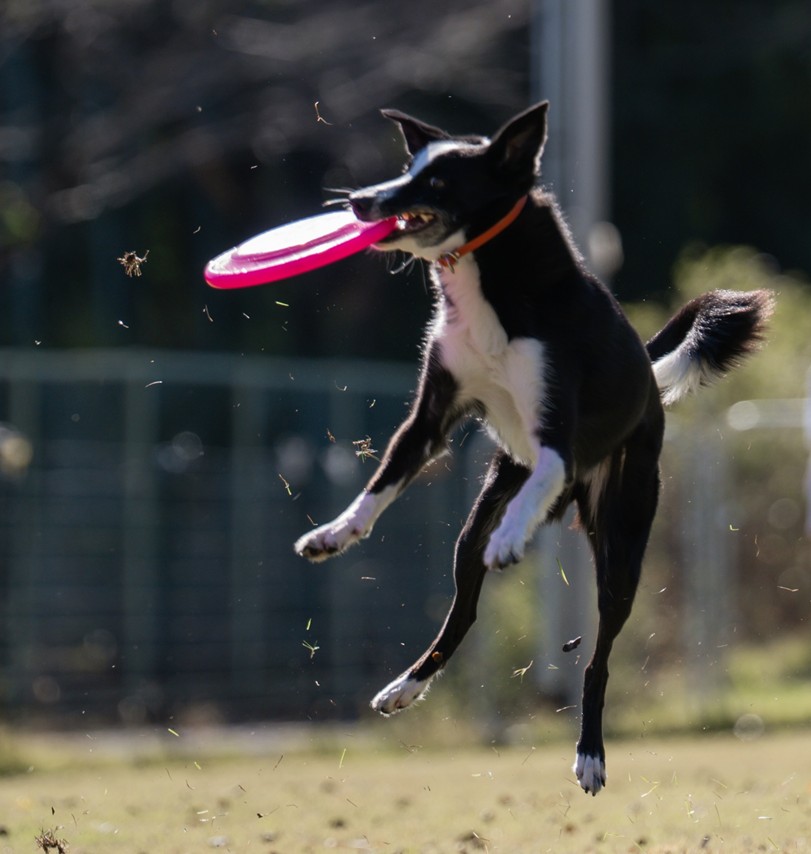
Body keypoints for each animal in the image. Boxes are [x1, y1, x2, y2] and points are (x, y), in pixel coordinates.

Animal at [294, 102, 773, 795]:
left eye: (438, 182)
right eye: (408, 167)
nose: (359, 200)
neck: (491, 277)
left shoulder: (557, 431)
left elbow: (545, 470)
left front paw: (512, 540)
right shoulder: (432, 414)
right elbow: (383, 479)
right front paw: (334, 533)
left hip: (622, 544)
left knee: (599, 658)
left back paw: (590, 752)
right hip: (483, 510)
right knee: (464, 609)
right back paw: (406, 686)